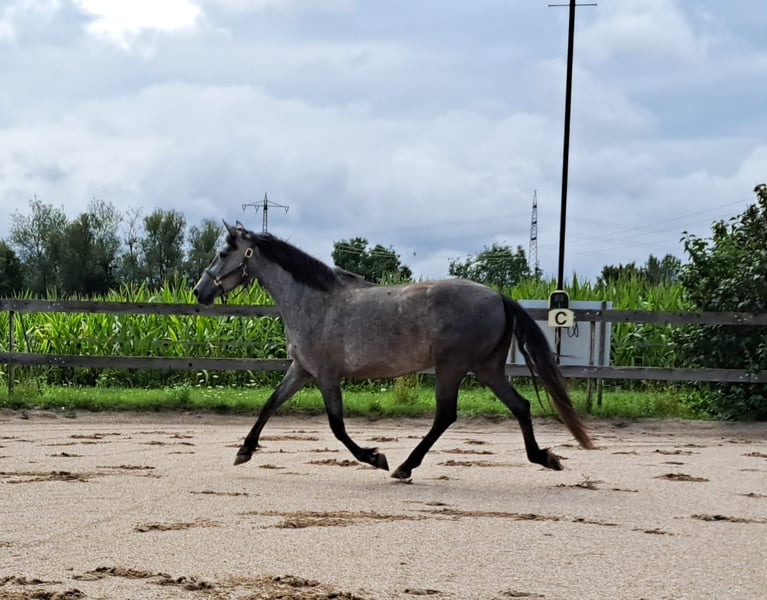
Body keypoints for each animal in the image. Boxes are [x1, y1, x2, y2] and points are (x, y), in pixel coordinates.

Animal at [193, 221, 593, 480]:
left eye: (222, 252)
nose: (199, 291)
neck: (313, 302)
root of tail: (499, 296)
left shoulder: (325, 375)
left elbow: (337, 426)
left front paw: (375, 457)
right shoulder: (301, 370)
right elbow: (269, 405)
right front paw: (244, 451)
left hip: (452, 367)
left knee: (446, 415)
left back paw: (404, 467)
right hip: (487, 368)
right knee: (520, 406)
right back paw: (544, 457)